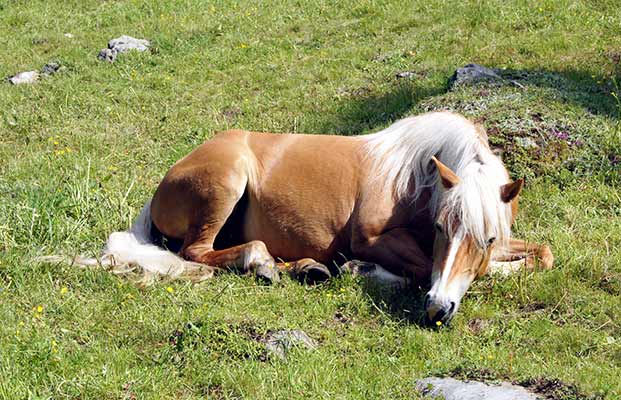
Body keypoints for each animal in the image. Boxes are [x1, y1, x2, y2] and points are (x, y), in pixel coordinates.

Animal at [43, 111, 552, 324]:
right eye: (446, 228)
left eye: (487, 239)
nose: (438, 310)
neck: (412, 175)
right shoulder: (373, 238)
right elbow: (421, 266)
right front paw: (364, 269)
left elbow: (542, 255)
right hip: (225, 184)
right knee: (198, 253)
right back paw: (265, 263)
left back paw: (304, 268)